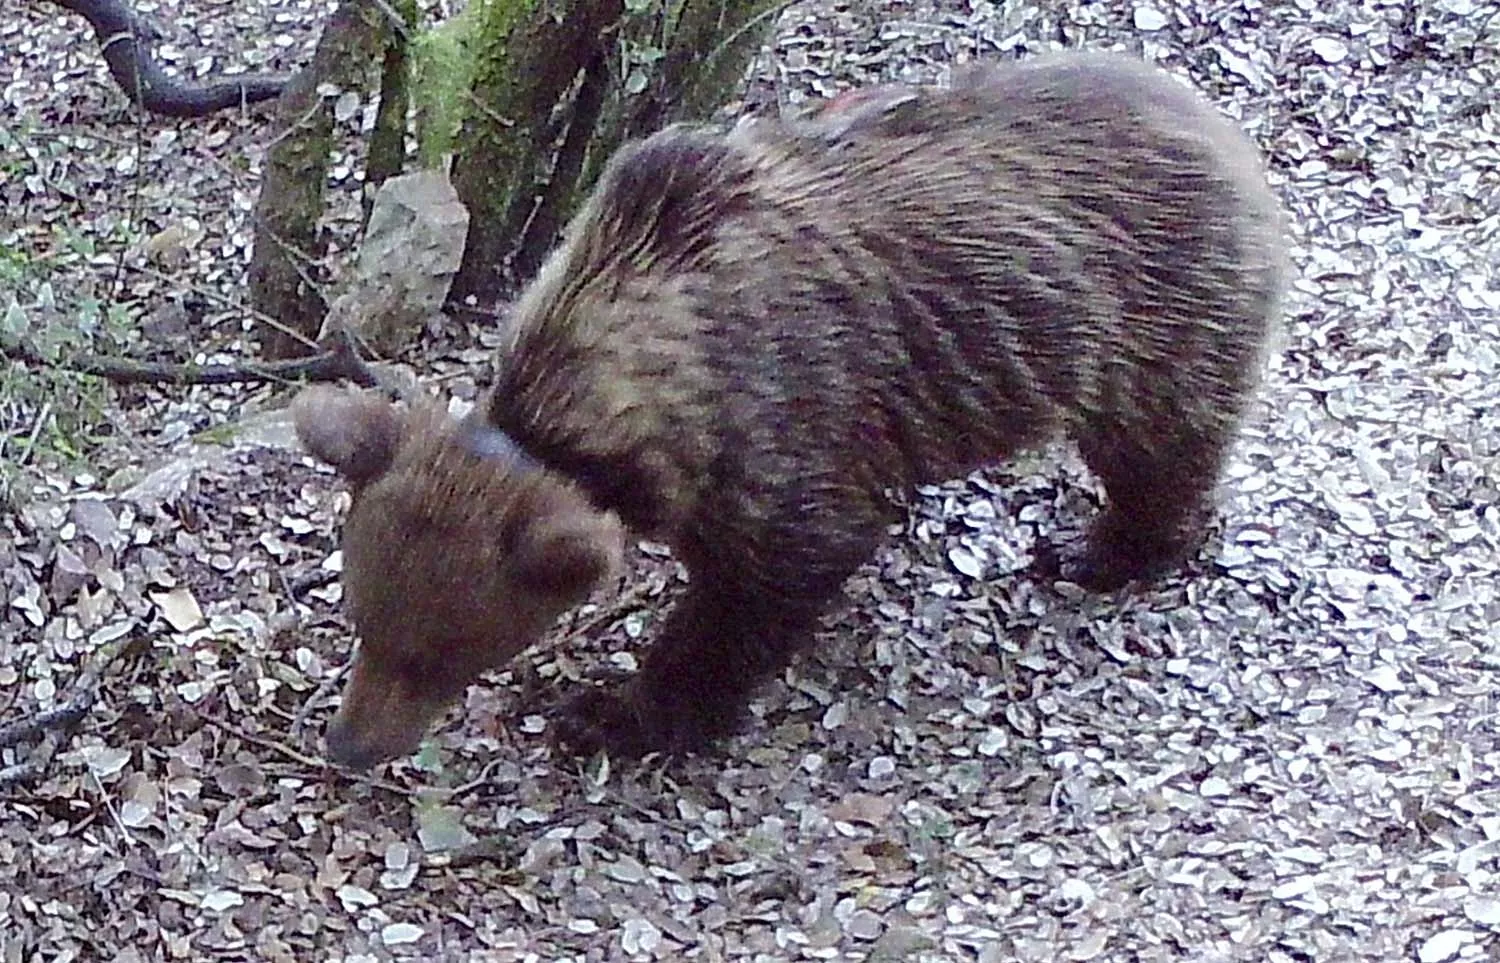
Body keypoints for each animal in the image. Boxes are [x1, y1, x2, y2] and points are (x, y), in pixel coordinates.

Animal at [295, 50, 1290, 774]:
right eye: (364, 620)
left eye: (437, 652)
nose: (350, 747)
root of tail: (1230, 137)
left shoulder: (780, 432)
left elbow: (763, 585)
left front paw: (619, 710)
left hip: (1154, 315)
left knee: (1160, 442)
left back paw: (1104, 547)